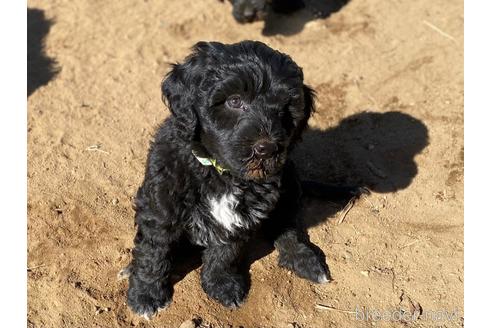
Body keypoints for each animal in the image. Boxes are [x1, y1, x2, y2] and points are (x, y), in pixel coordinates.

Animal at [125, 39, 332, 320]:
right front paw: (145, 295)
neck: (220, 172)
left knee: (288, 226)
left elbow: (225, 253)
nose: (267, 149)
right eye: (234, 101)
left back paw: (305, 260)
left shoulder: (240, 217)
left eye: (284, 108)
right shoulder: (161, 206)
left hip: (288, 183)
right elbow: (153, 252)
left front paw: (221, 285)